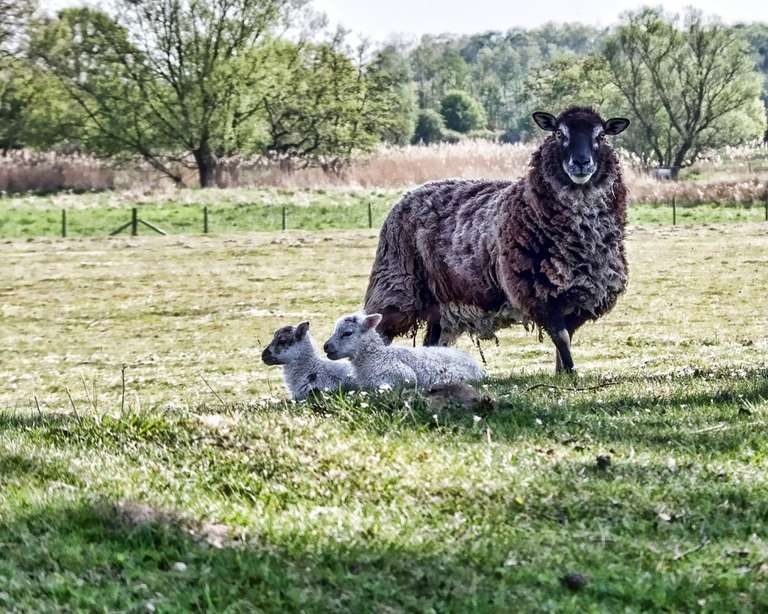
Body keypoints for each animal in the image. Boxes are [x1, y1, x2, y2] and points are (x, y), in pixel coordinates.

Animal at [364, 106, 630, 374]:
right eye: (558, 133)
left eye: (601, 136)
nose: (581, 162)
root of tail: (410, 193)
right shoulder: (538, 294)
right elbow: (561, 337)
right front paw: (571, 373)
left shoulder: (581, 295)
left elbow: (566, 340)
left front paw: (563, 373)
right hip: (396, 287)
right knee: (379, 330)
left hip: (440, 304)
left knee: (431, 342)